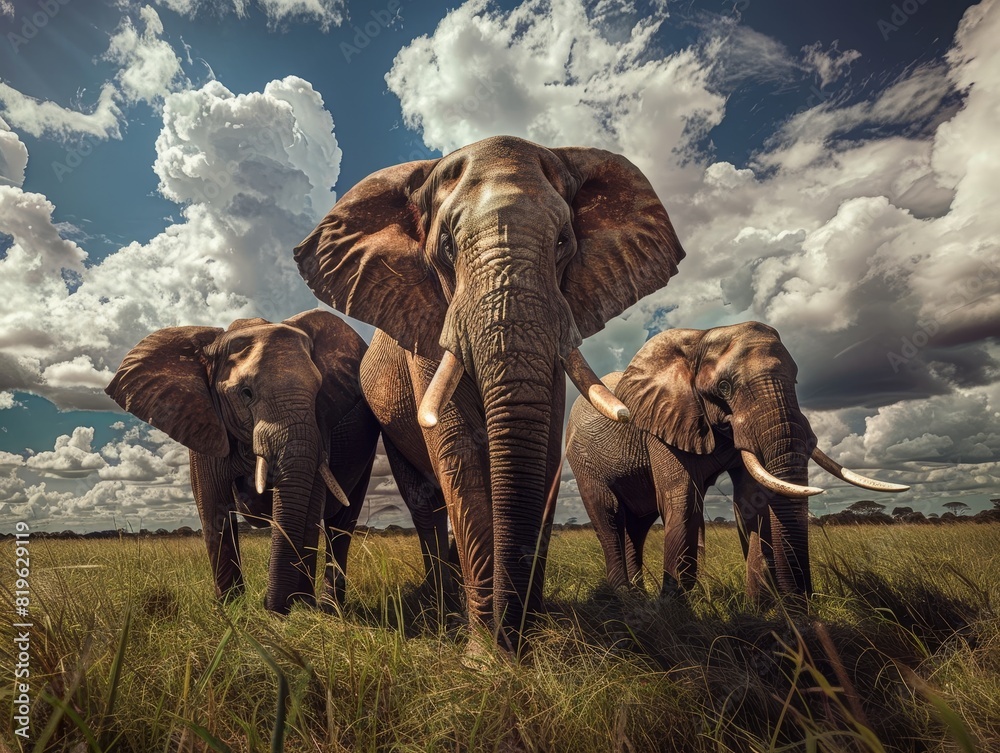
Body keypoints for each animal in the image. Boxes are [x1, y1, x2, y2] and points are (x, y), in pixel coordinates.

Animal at [105, 310, 381, 614]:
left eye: (318, 390)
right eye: (246, 393)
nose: (274, 608)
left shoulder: (321, 425)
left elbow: (311, 504)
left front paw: (303, 609)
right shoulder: (202, 417)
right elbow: (213, 504)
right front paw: (231, 610)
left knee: (340, 527)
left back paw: (330, 609)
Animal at [293, 135, 686, 654]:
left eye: (563, 242)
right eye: (446, 247)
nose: (509, 635)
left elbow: (542, 453)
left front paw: (524, 643)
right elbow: (459, 451)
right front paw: (484, 656)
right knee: (425, 500)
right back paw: (444, 605)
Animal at [566, 322, 908, 603]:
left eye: (796, 381)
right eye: (724, 387)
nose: (805, 601)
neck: (701, 337)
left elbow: (750, 501)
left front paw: (757, 610)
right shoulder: (661, 422)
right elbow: (682, 499)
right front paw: (673, 612)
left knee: (637, 526)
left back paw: (637, 596)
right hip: (582, 460)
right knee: (609, 515)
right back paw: (625, 599)